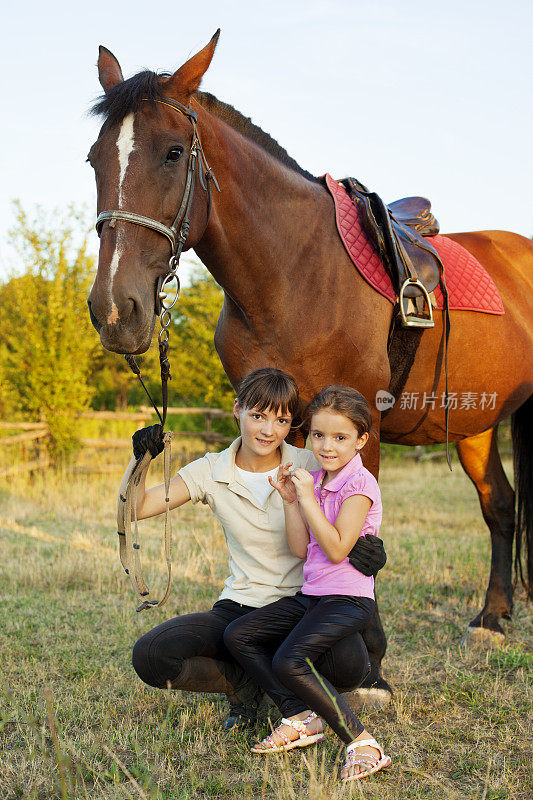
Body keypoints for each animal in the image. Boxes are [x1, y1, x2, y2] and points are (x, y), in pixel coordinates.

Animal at [88, 31, 532, 696]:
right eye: (95, 159)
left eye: (172, 153)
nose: (116, 310)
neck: (294, 272)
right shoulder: (291, 426)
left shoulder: (358, 425)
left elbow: (363, 542)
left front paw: (370, 669)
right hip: (475, 424)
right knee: (500, 505)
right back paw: (492, 618)